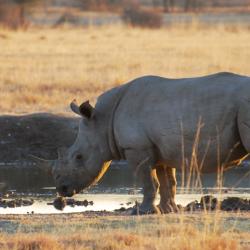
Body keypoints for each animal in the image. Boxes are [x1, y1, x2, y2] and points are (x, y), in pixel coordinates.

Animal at [36, 73, 249, 215]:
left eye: (79, 157)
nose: (62, 189)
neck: (103, 121)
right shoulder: (161, 149)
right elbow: (167, 182)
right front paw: (168, 209)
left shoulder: (137, 148)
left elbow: (148, 181)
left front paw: (144, 212)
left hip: (244, 105)